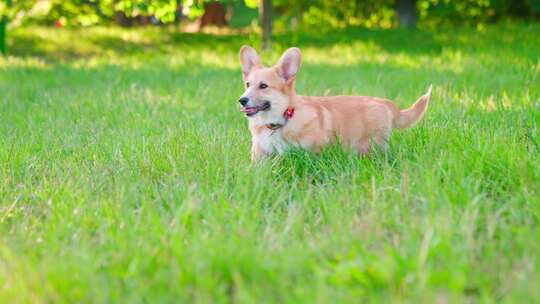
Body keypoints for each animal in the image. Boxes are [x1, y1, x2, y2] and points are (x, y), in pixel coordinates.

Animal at [236, 45, 430, 163]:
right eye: (247, 85)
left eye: (263, 86)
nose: (242, 100)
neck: (281, 121)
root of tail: (386, 103)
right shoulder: (259, 157)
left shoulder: (312, 151)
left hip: (370, 147)